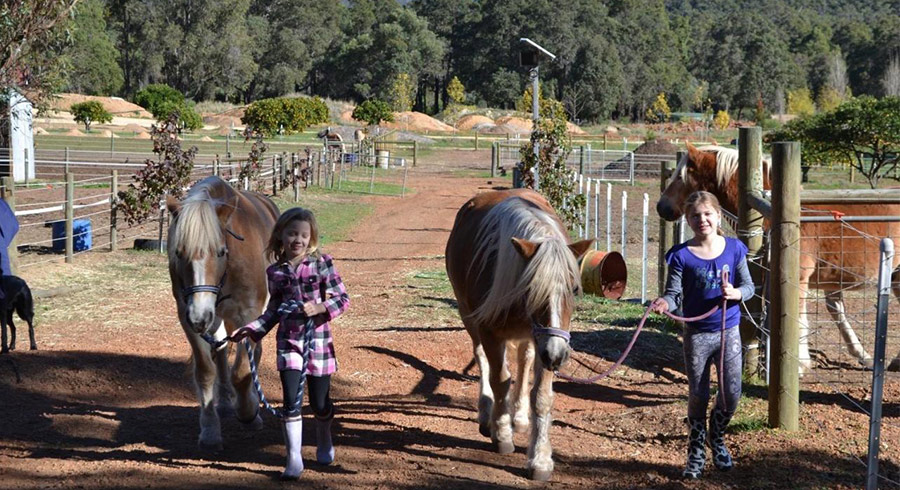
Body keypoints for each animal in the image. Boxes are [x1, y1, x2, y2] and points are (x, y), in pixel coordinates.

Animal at [167, 174, 280, 450]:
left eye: (220, 252)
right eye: (179, 252)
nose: (199, 317)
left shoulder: (249, 314)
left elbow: (242, 371)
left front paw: (249, 412)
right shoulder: (187, 316)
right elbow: (206, 371)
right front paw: (209, 430)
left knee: (254, 354)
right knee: (220, 349)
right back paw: (227, 403)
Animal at [446, 189, 596, 480]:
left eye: (573, 289)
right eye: (532, 288)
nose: (557, 356)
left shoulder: (546, 343)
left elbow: (541, 396)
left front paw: (540, 459)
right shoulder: (490, 333)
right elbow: (500, 381)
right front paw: (502, 434)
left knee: (524, 361)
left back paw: (520, 416)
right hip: (469, 317)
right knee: (482, 360)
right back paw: (487, 415)